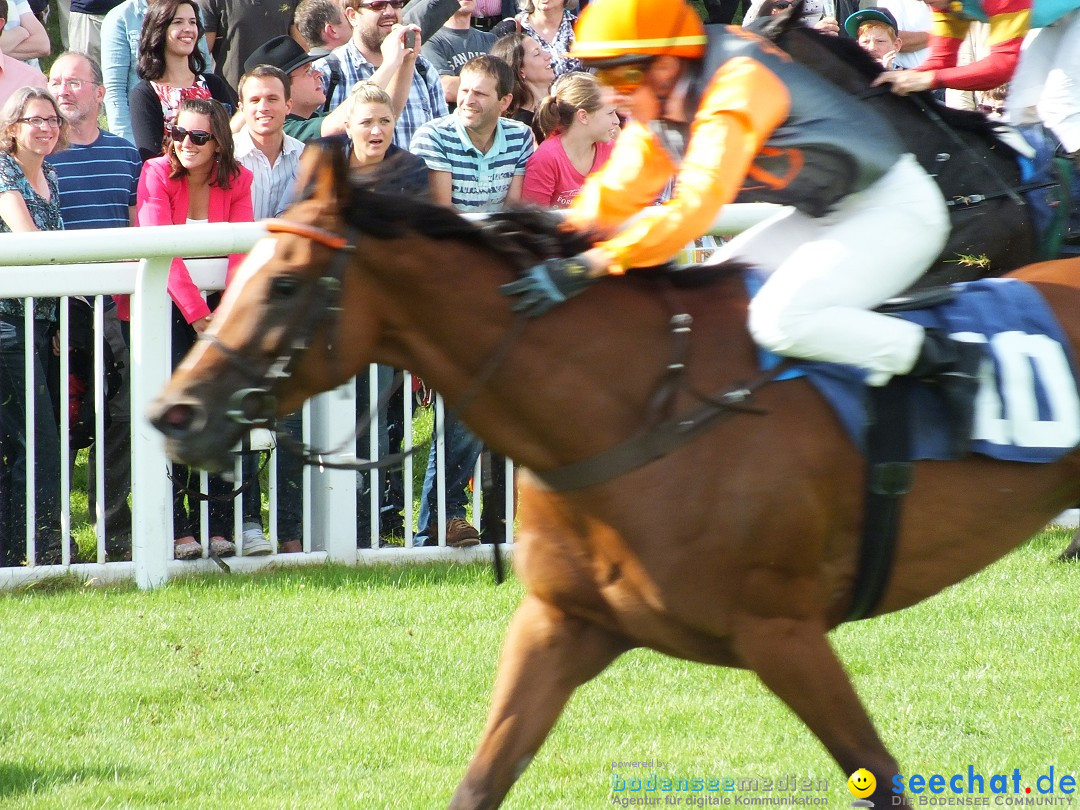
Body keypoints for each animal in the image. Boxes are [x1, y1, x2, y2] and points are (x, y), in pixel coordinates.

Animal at [154, 142, 1080, 807]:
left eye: (283, 284)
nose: (175, 412)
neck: (635, 411)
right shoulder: (560, 624)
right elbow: (481, 780)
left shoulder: (785, 632)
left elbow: (879, 776)